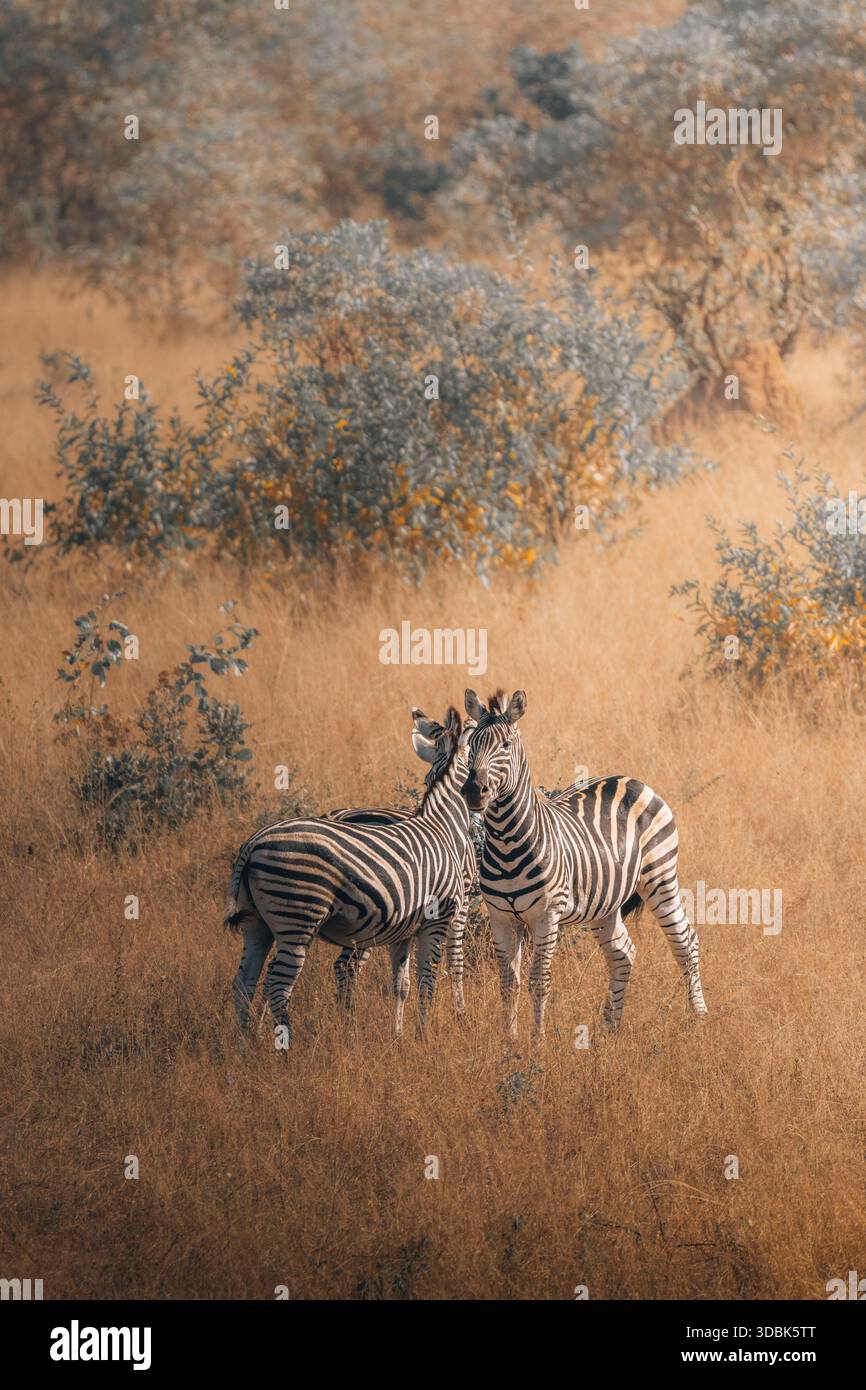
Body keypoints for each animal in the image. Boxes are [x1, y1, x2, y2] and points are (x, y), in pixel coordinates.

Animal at [225, 706, 473, 1042]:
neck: (442, 827)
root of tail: (253, 842)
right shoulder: (438, 920)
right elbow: (427, 983)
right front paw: (426, 1037)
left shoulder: (404, 931)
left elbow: (402, 986)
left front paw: (398, 1037)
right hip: (298, 917)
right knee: (277, 985)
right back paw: (287, 1045)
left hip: (257, 922)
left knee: (244, 983)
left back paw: (243, 1045)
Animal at [460, 688, 708, 1039]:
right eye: (471, 744)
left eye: (505, 745)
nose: (473, 791)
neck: (507, 841)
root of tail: (633, 780)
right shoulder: (501, 918)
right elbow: (508, 984)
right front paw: (510, 1042)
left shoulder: (547, 916)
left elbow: (539, 982)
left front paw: (537, 1042)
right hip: (606, 903)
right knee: (623, 954)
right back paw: (610, 1027)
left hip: (660, 878)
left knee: (686, 942)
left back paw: (698, 1017)